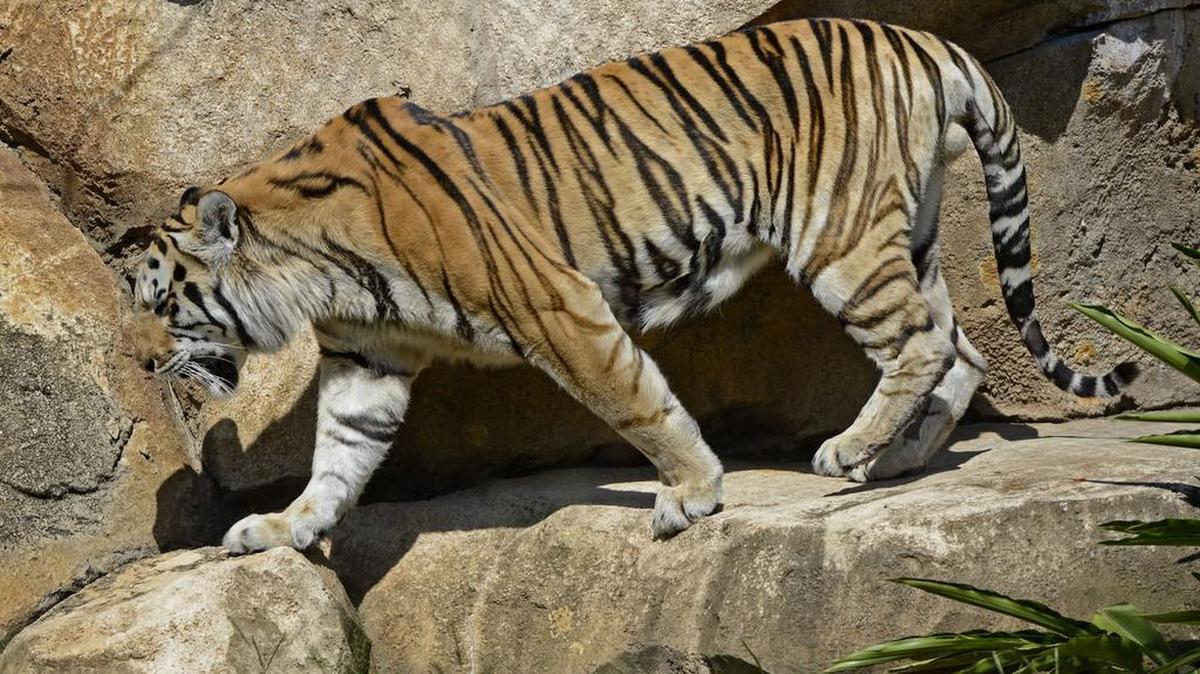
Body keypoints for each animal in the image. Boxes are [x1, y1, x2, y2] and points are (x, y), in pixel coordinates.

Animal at [130, 18, 1138, 554]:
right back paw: (891, 461)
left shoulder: (558, 307)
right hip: (909, 234)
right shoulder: (366, 365)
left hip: (840, 238)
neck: (315, 277)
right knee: (961, 350)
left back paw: (847, 452)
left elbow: (638, 404)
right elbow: (338, 456)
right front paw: (284, 526)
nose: (139, 366)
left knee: (925, 343)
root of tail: (917, 34)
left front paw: (692, 494)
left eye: (161, 305)